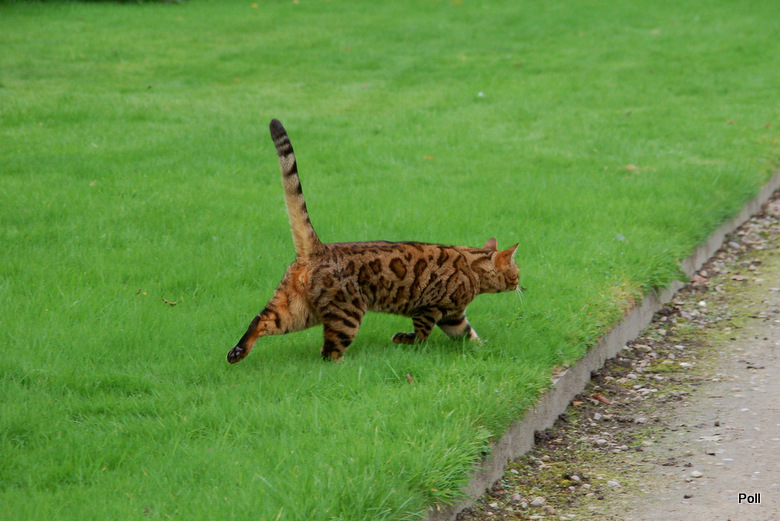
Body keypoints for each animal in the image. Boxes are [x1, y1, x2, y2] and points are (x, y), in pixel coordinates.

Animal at [226, 119, 519, 363]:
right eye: (517, 273)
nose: (521, 285)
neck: (473, 268)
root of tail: (319, 249)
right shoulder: (429, 309)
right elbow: (421, 335)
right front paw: (404, 340)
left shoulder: (454, 316)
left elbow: (468, 335)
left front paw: (484, 350)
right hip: (346, 315)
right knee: (328, 352)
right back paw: (344, 365)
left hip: (296, 309)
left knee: (262, 320)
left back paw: (237, 353)